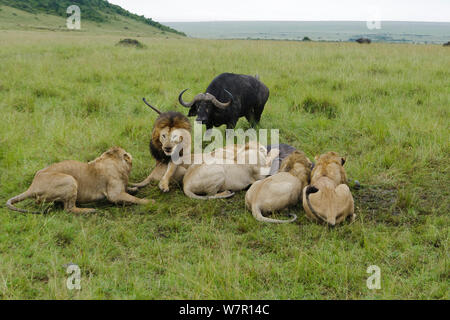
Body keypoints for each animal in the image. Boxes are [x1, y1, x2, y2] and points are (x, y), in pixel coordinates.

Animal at [6, 146, 152, 214]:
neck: (112, 159)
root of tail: (32, 186)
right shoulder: (114, 195)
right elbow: (134, 199)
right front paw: (148, 201)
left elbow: (129, 191)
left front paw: (133, 189)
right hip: (70, 180)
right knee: (69, 209)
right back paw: (90, 211)